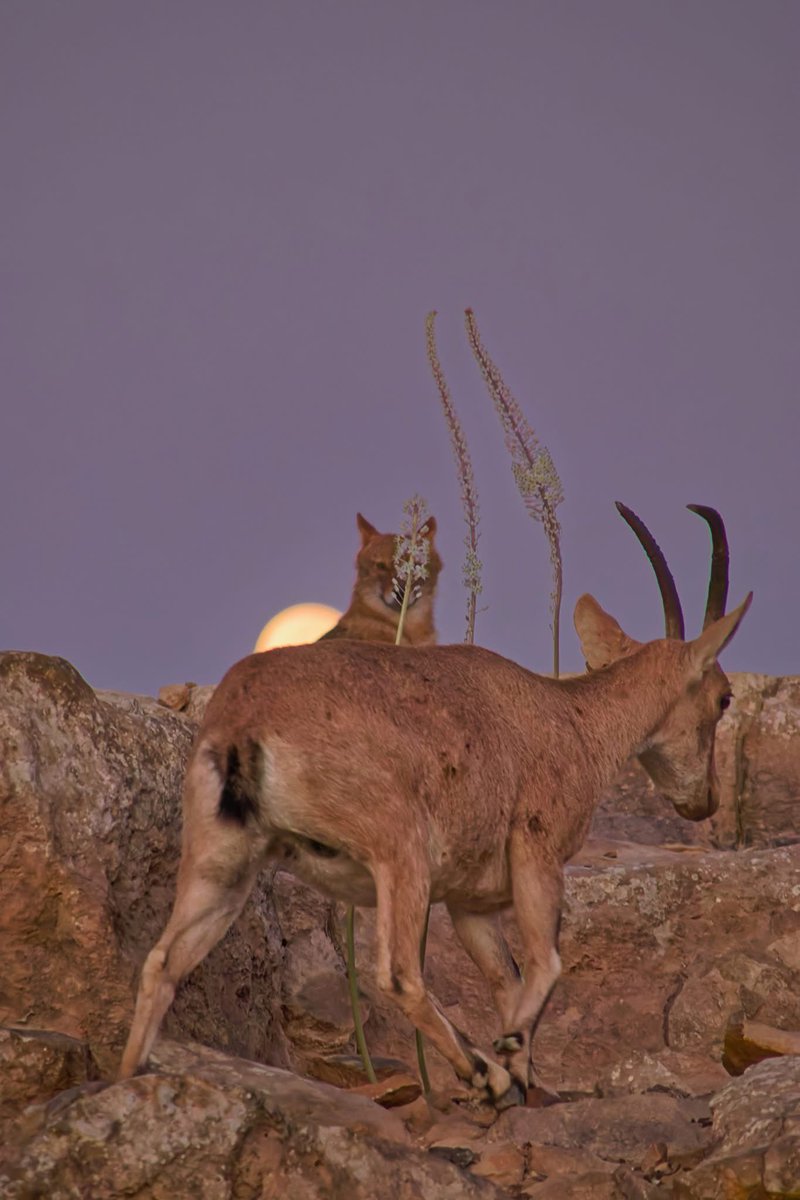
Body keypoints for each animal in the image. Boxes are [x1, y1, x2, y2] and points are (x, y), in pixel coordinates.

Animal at [119, 505, 750, 1108]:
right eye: (723, 697)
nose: (705, 801)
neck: (574, 722)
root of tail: (244, 724)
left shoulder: (469, 903)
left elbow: (506, 979)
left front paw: (527, 1076)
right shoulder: (537, 851)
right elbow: (545, 963)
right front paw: (509, 1062)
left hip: (223, 862)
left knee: (162, 963)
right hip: (400, 850)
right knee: (400, 974)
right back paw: (481, 1074)